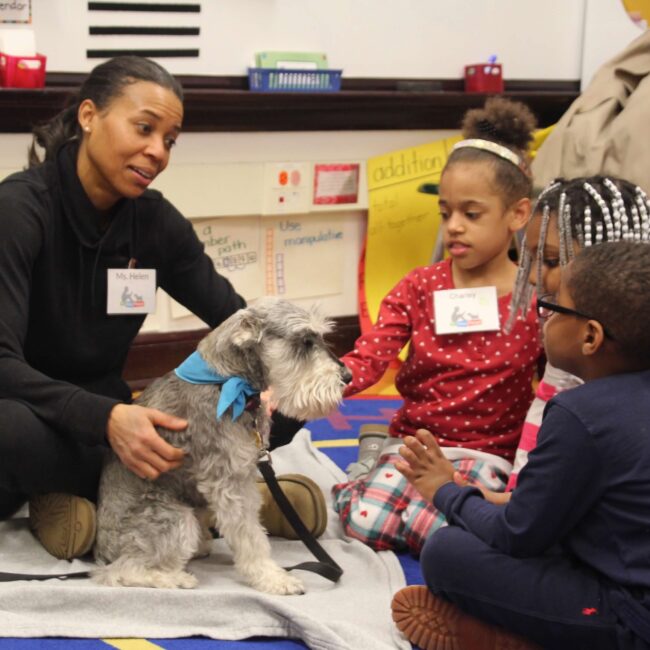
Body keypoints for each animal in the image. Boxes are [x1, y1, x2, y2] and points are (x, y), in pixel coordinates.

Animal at [92, 298, 350, 592]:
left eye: (320, 337)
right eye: (305, 341)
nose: (348, 376)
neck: (226, 383)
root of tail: (102, 551)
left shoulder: (244, 473)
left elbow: (252, 524)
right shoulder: (228, 480)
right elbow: (249, 535)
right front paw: (272, 577)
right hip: (173, 520)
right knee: (119, 571)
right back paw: (175, 577)